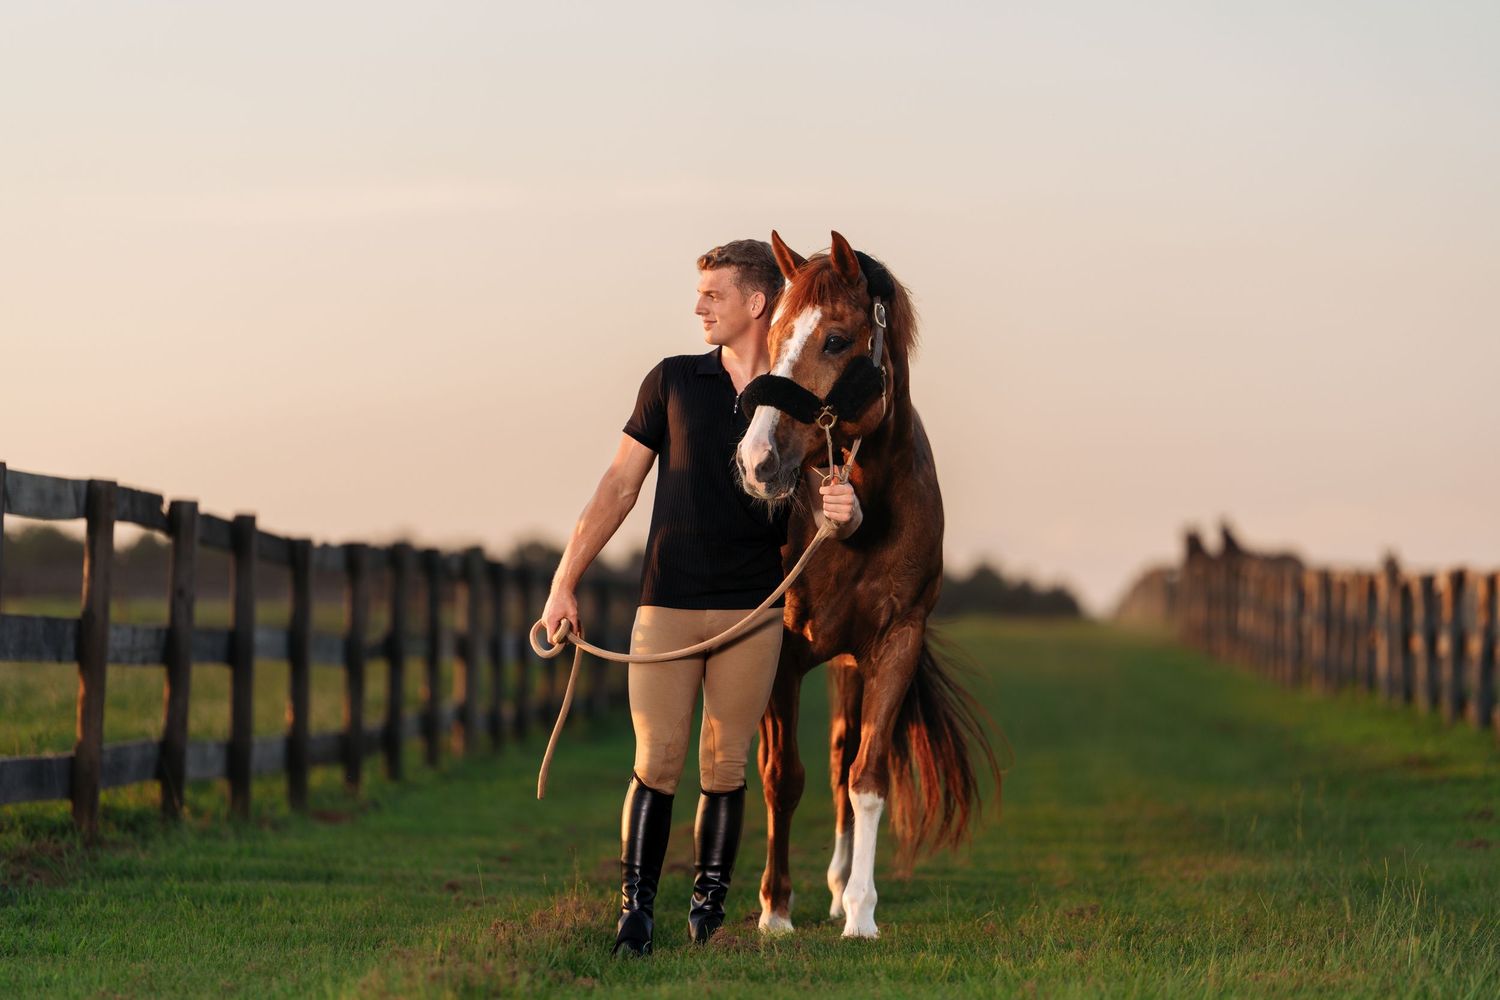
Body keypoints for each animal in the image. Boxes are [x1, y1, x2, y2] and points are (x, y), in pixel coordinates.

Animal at [734, 230, 1002, 938]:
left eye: (835, 340)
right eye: (775, 334)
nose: (757, 461)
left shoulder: (893, 645)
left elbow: (866, 776)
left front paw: (860, 909)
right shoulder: (781, 655)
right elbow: (781, 777)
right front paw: (774, 909)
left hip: (849, 665)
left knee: (840, 759)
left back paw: (836, 886)